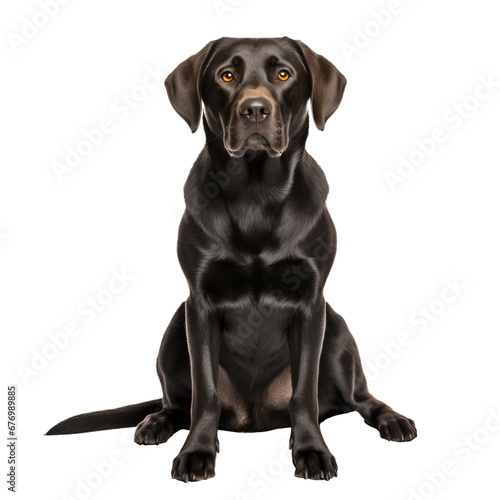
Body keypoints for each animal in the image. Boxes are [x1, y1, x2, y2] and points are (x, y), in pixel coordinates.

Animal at [47, 37, 416, 482]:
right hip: (175, 330)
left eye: (283, 73)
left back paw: (391, 418)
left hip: (339, 332)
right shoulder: (200, 304)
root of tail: (253, 417)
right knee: (178, 405)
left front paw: (311, 450)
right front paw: (196, 452)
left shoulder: (311, 303)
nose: (255, 109)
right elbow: (204, 394)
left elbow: (304, 392)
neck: (255, 195)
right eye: (226, 75)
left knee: (360, 398)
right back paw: (156, 422)